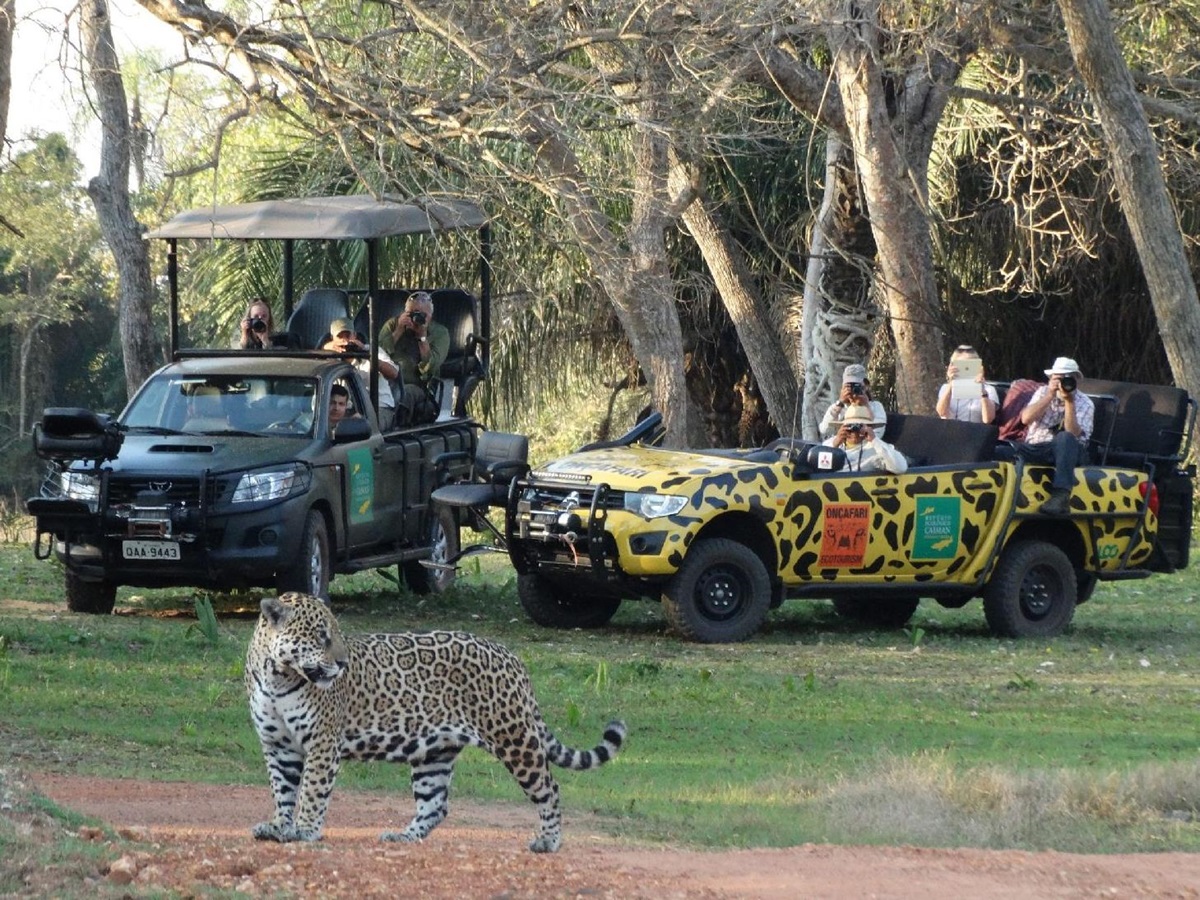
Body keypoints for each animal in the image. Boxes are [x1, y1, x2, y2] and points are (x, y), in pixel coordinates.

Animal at [244, 591, 626, 853]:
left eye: (336, 634)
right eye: (321, 635)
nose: (342, 663)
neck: (278, 678)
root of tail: (512, 657)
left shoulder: (323, 743)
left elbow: (312, 789)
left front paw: (305, 830)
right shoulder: (277, 745)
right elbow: (283, 789)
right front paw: (279, 826)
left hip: (514, 737)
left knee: (549, 788)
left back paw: (548, 841)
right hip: (435, 752)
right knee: (435, 804)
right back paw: (403, 836)